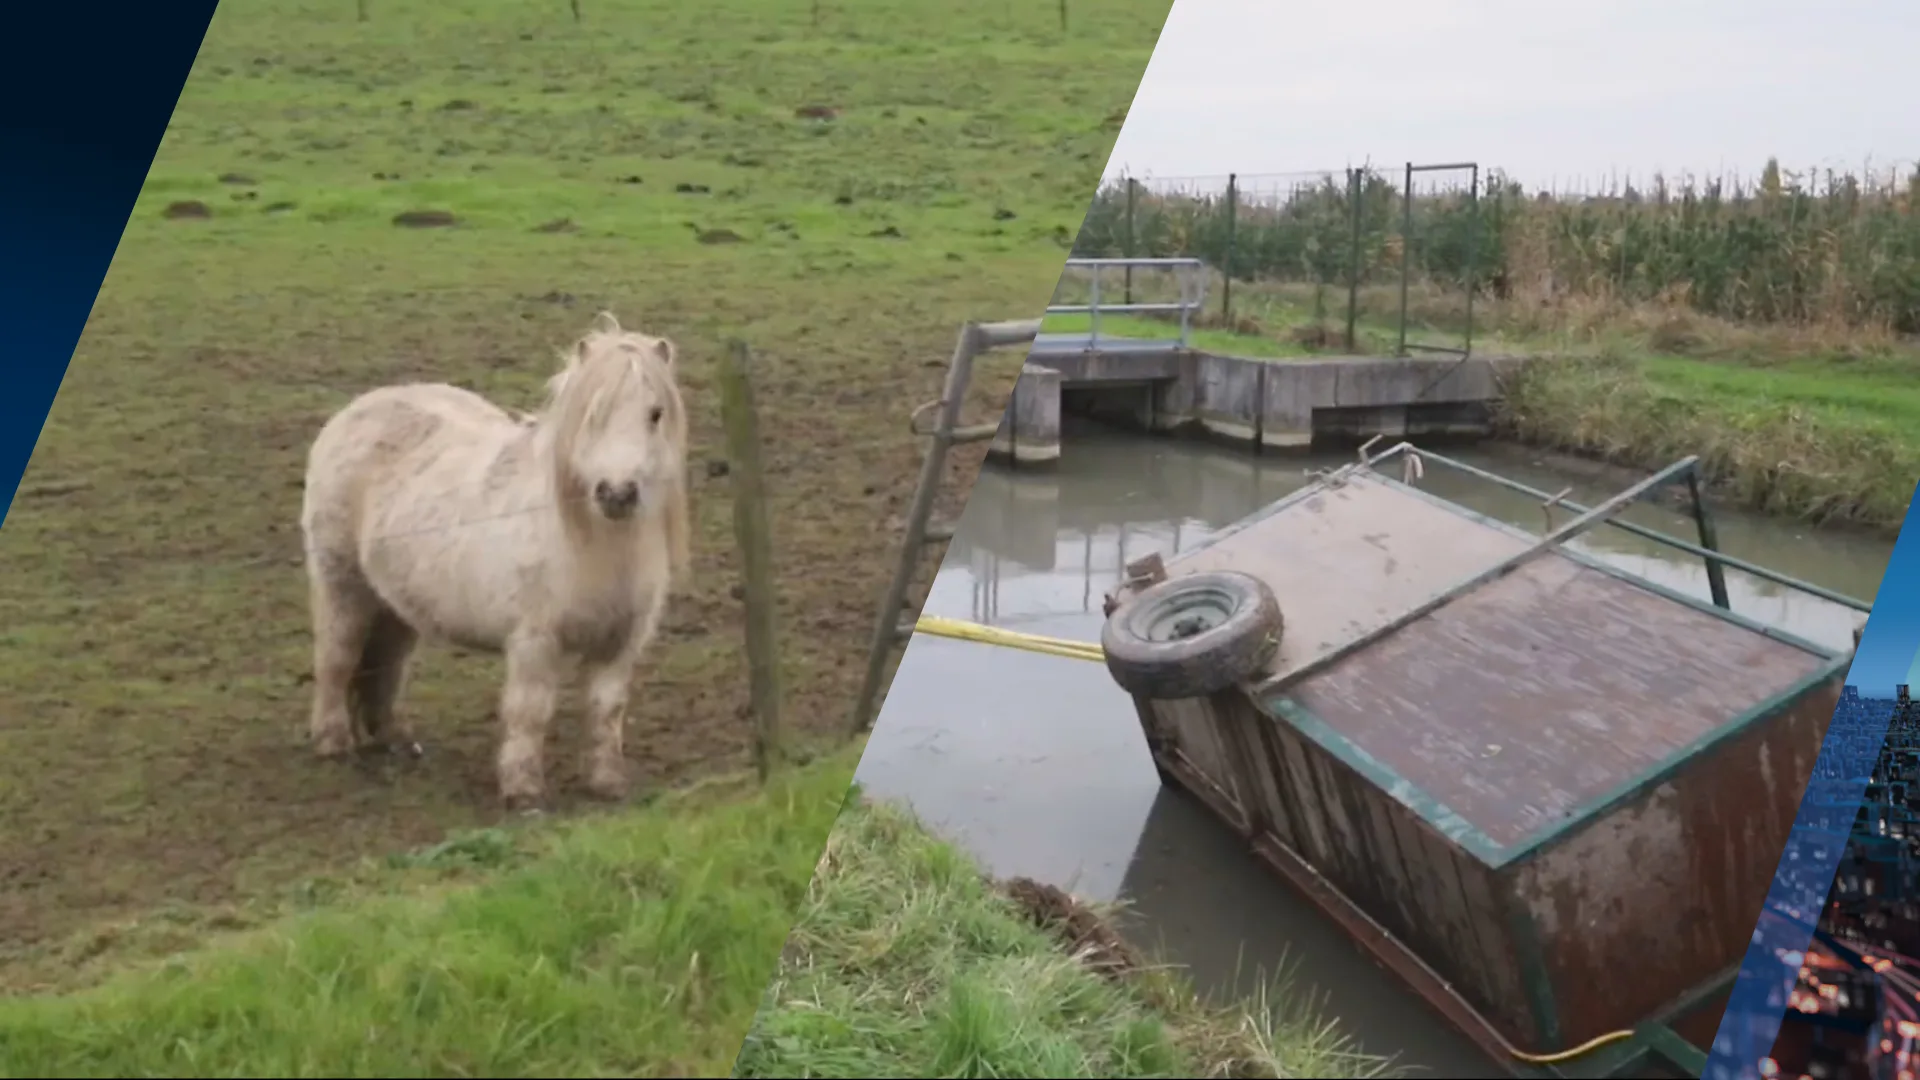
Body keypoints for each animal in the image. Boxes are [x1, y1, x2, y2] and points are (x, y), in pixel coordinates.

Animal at [298, 312, 692, 809]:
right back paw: (333, 743)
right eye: (591, 414)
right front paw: (523, 791)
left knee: (386, 664)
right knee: (337, 657)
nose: (617, 494)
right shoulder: (533, 642)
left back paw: (395, 740)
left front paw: (608, 784)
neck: (593, 539)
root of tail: (353, 412)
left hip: (396, 603)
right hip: (343, 587)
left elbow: (606, 712)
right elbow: (530, 712)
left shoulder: (619, 643)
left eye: (655, 414)